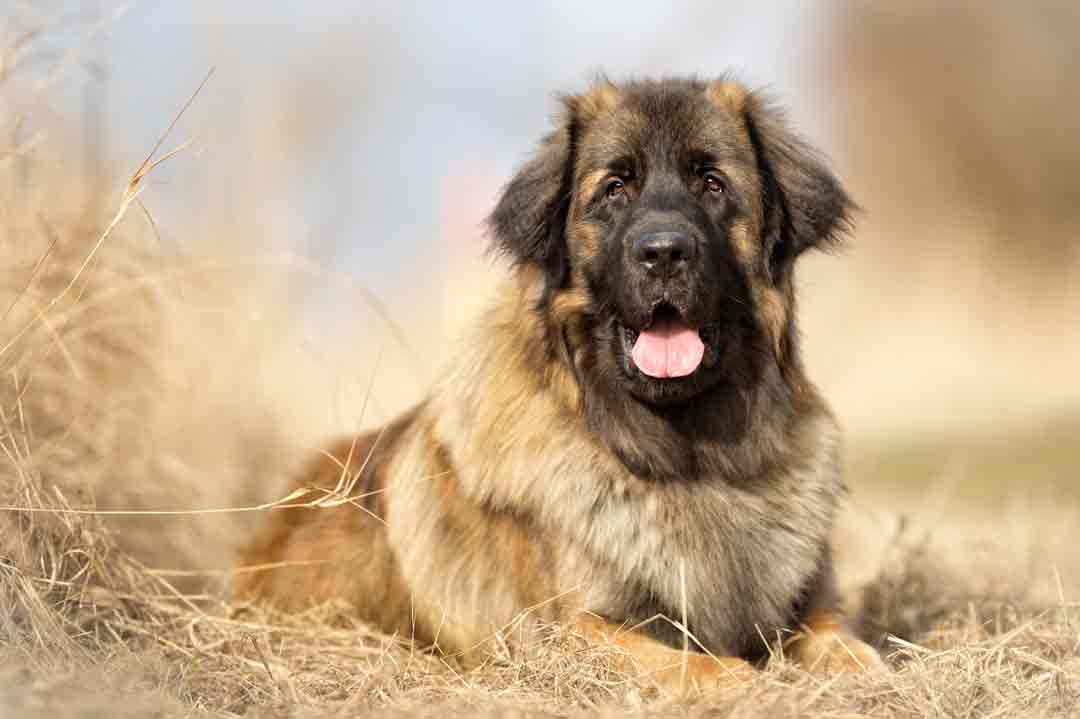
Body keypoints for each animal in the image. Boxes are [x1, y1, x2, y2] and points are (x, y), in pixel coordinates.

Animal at [232, 77, 881, 690]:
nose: (663, 253)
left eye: (713, 185)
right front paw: (735, 677)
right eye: (614, 189)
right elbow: (683, 662)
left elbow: (845, 643)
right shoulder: (566, 629)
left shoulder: (808, 605)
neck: (687, 457)